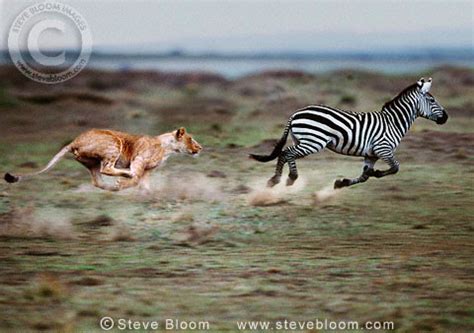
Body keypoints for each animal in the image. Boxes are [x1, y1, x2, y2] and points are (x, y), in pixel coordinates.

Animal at [250, 76, 450, 188]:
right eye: (432, 100)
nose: (446, 118)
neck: (393, 122)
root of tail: (295, 114)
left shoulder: (371, 155)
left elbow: (364, 176)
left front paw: (341, 183)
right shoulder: (383, 149)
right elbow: (395, 167)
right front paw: (377, 174)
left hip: (303, 140)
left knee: (289, 154)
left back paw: (290, 178)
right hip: (313, 141)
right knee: (286, 153)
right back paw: (276, 180)